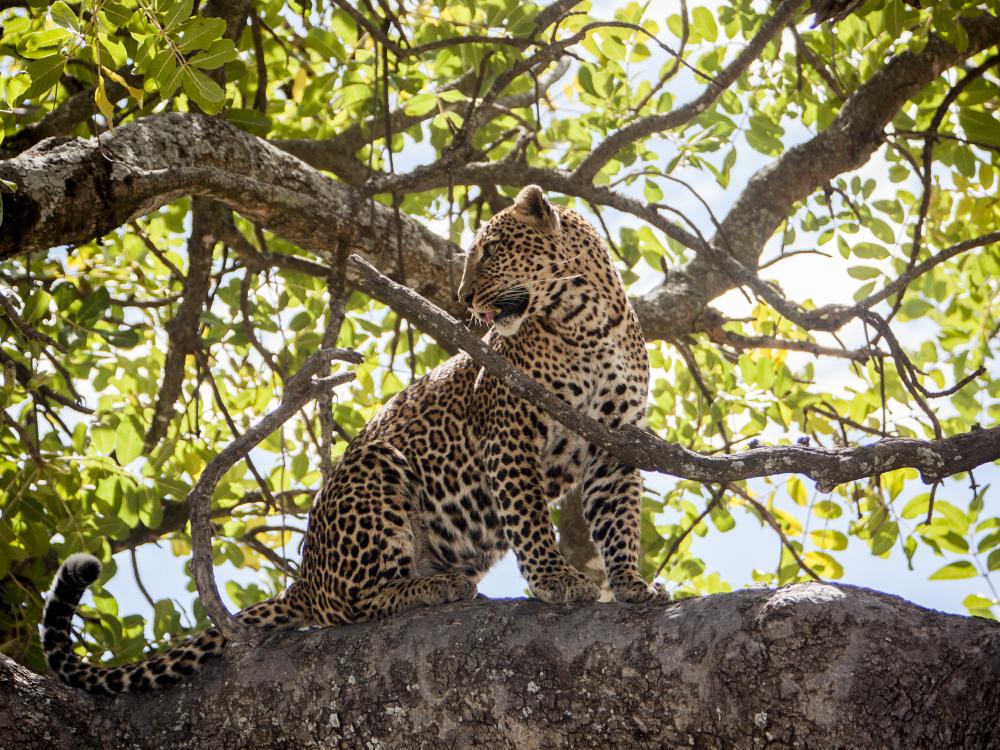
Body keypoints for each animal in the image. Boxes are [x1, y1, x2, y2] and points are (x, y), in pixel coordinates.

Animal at [41, 185, 664, 696]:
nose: (463, 298)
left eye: (489, 250)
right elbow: (530, 519)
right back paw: (431, 589)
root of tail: (304, 580)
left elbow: (618, 522)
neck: (588, 322)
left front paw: (631, 585)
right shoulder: (508, 430)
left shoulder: (615, 447)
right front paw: (556, 581)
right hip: (377, 467)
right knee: (353, 604)